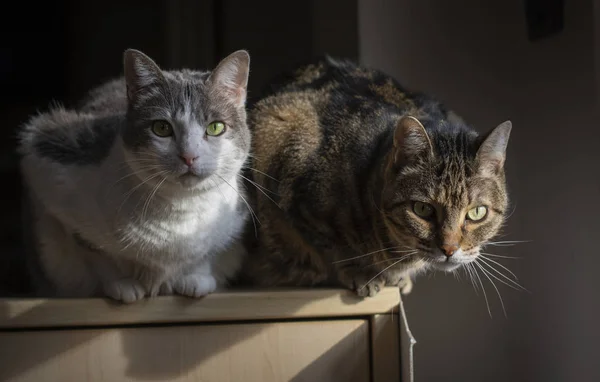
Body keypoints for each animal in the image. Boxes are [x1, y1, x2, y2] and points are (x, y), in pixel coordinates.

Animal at [19, 49, 251, 302]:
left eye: (215, 127)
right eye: (161, 128)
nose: (189, 156)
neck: (179, 213)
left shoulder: (234, 219)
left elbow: (208, 252)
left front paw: (195, 278)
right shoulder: (49, 159)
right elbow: (95, 252)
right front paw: (123, 284)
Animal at [241, 56, 512, 296]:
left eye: (477, 212)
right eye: (423, 209)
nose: (449, 249)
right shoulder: (293, 191)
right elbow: (335, 247)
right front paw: (360, 273)